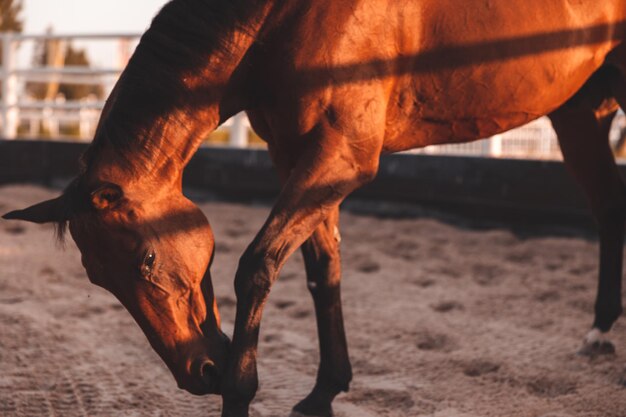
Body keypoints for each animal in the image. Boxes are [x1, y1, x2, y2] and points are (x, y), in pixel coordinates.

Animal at [1, 0, 624, 416]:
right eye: (97, 277)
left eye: (147, 261)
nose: (200, 373)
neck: (286, 16)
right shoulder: (298, 156)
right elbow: (322, 270)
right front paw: (325, 391)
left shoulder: (340, 158)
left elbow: (257, 265)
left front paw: (240, 392)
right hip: (579, 113)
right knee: (608, 210)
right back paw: (599, 330)